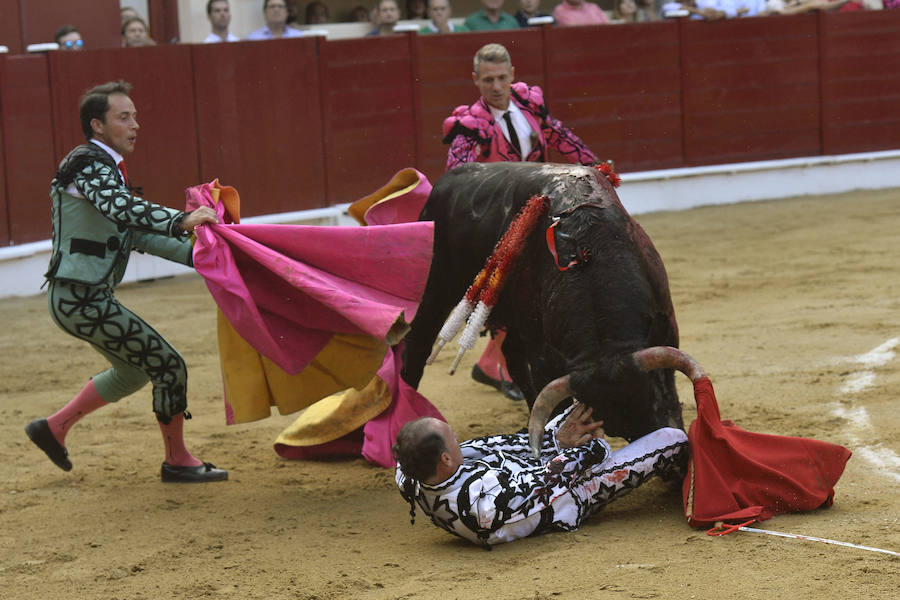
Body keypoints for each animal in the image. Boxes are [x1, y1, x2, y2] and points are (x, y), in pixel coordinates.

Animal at [400, 161, 684, 440]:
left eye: (652, 404)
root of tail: (442, 184)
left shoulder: (666, 336)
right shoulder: (543, 358)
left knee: (512, 358)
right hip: (434, 291)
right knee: (416, 347)